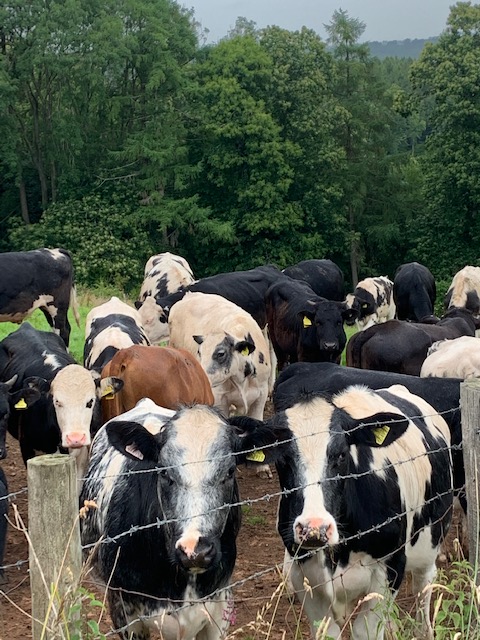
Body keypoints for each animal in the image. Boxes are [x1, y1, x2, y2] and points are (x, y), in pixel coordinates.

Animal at [267, 385, 453, 639]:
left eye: (342, 454)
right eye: (282, 459)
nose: (314, 528)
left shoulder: (390, 567)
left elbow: (366, 631)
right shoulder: (302, 575)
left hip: (429, 543)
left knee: (423, 587)